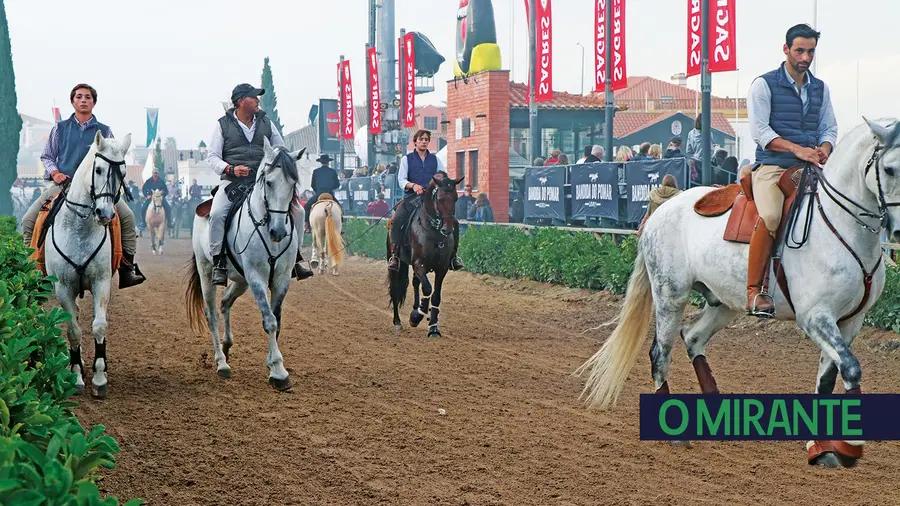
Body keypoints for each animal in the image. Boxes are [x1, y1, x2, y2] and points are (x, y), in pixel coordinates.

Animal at [45, 130, 131, 400]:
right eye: (99, 169)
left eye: (123, 173)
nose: (105, 213)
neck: (79, 228)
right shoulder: (63, 287)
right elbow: (73, 330)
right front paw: (76, 377)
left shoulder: (101, 283)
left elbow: (99, 327)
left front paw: (99, 377)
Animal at [185, 138, 306, 392]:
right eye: (269, 182)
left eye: (293, 183)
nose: (278, 231)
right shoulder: (256, 277)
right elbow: (269, 321)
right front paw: (278, 371)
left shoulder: (281, 279)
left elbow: (277, 320)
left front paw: (273, 365)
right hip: (207, 272)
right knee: (212, 314)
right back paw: (221, 362)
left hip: (240, 280)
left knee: (225, 302)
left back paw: (227, 346)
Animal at [386, 173, 464, 336]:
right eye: (440, 199)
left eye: (455, 198)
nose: (447, 229)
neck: (434, 232)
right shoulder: (419, 263)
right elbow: (427, 288)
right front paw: (416, 317)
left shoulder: (441, 268)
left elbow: (436, 296)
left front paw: (433, 327)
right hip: (395, 263)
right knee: (396, 288)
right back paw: (397, 321)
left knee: (415, 283)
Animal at [576, 117, 900, 466]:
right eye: (890, 169)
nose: (897, 230)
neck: (840, 227)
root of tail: (660, 211)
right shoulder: (816, 318)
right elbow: (851, 368)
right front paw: (849, 447)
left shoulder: (850, 322)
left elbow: (828, 377)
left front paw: (822, 448)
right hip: (670, 296)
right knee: (660, 352)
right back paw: (674, 435)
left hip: (723, 304)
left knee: (693, 338)